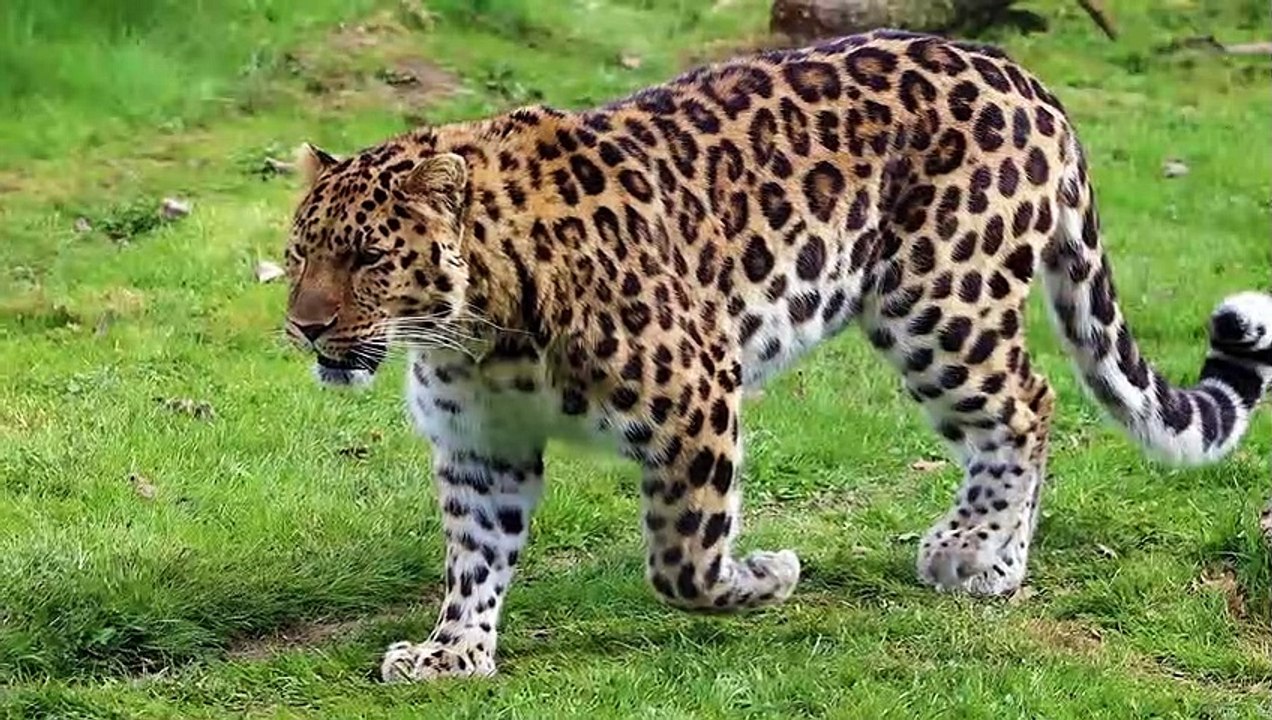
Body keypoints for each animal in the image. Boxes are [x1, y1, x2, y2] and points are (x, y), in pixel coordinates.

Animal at [280, 29, 1272, 682]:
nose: (305, 328)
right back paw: (998, 563)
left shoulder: (694, 392)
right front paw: (453, 653)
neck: (478, 333)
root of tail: (1027, 79)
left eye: (369, 258)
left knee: (1028, 403)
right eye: (299, 254)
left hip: (938, 301)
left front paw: (767, 577)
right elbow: (476, 555)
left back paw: (971, 550)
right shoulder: (481, 446)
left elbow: (682, 562)